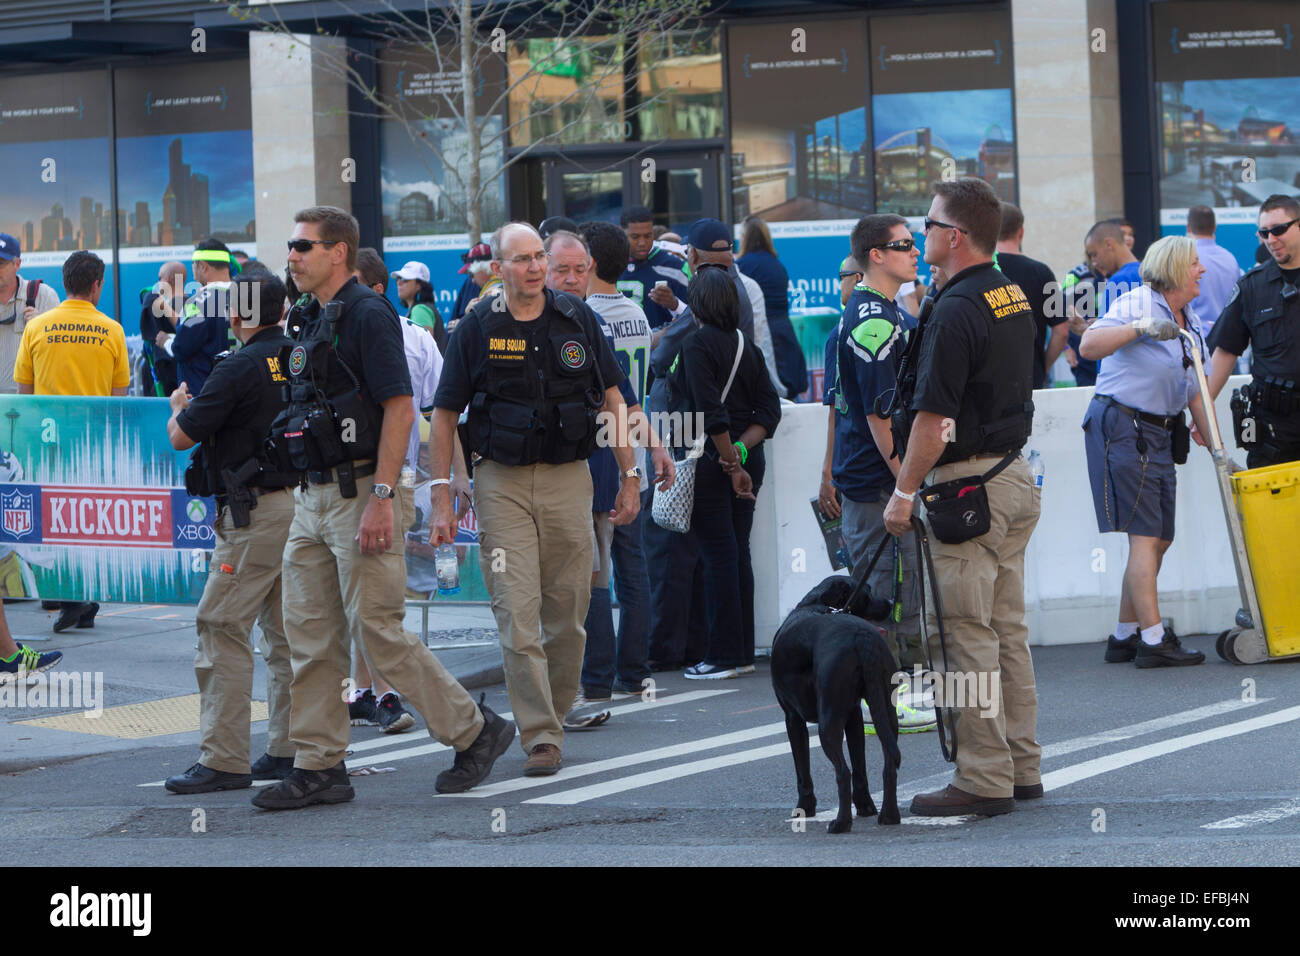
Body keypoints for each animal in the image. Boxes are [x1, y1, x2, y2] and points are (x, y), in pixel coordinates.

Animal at [769, 574, 904, 832]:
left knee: (842, 772)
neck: (815, 604)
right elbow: (860, 767)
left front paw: (805, 808)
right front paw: (865, 807)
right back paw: (889, 816)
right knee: (889, 763)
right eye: (866, 593)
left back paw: (840, 823)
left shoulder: (792, 718)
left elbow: (803, 771)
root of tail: (861, 636)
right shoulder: (854, 716)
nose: (892, 602)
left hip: (828, 722)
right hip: (886, 712)